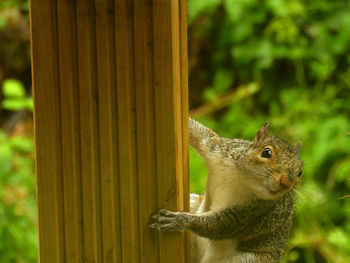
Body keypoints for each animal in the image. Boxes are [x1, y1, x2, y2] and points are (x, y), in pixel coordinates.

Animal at [149, 118, 302, 262]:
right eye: (266, 152)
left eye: (299, 172)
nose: (286, 183)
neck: (244, 178)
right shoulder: (219, 149)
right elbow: (200, 134)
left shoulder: (252, 212)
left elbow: (220, 226)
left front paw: (180, 221)